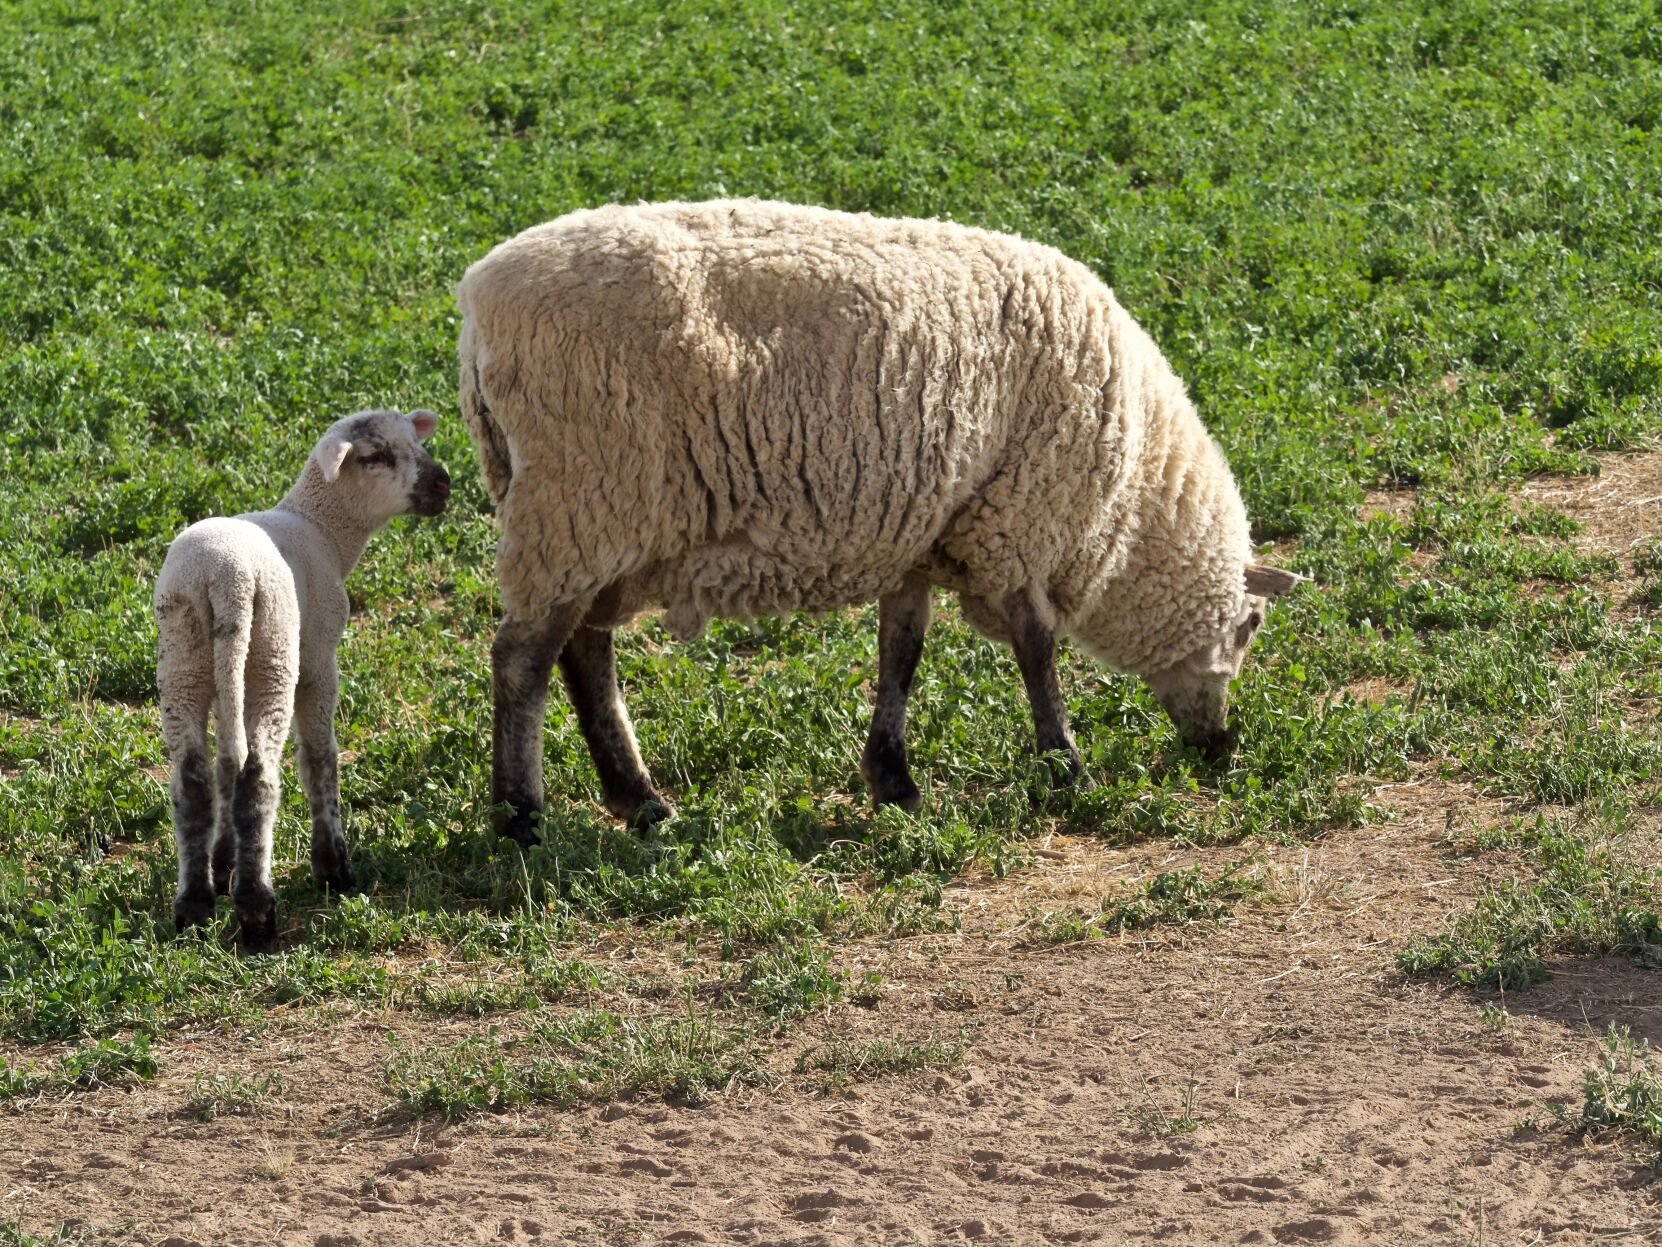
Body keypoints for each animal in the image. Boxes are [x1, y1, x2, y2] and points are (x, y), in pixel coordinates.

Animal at [153, 415, 452, 951]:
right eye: (376, 456)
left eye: (415, 440)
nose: (444, 484)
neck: (322, 528)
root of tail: (221, 579)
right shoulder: (317, 660)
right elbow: (319, 758)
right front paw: (332, 867)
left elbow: (227, 764)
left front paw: (224, 862)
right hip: (273, 654)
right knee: (259, 778)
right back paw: (256, 911)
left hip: (188, 659)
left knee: (194, 780)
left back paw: (195, 906)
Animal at [452, 200, 1296, 844]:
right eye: (1248, 630)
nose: (1220, 747)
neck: (1134, 500)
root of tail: (475, 309)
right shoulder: (1016, 520)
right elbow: (1037, 649)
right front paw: (1064, 762)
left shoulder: (923, 530)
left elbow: (903, 652)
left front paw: (892, 776)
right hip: (578, 498)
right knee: (522, 660)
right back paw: (521, 815)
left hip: (595, 520)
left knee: (583, 654)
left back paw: (638, 798)